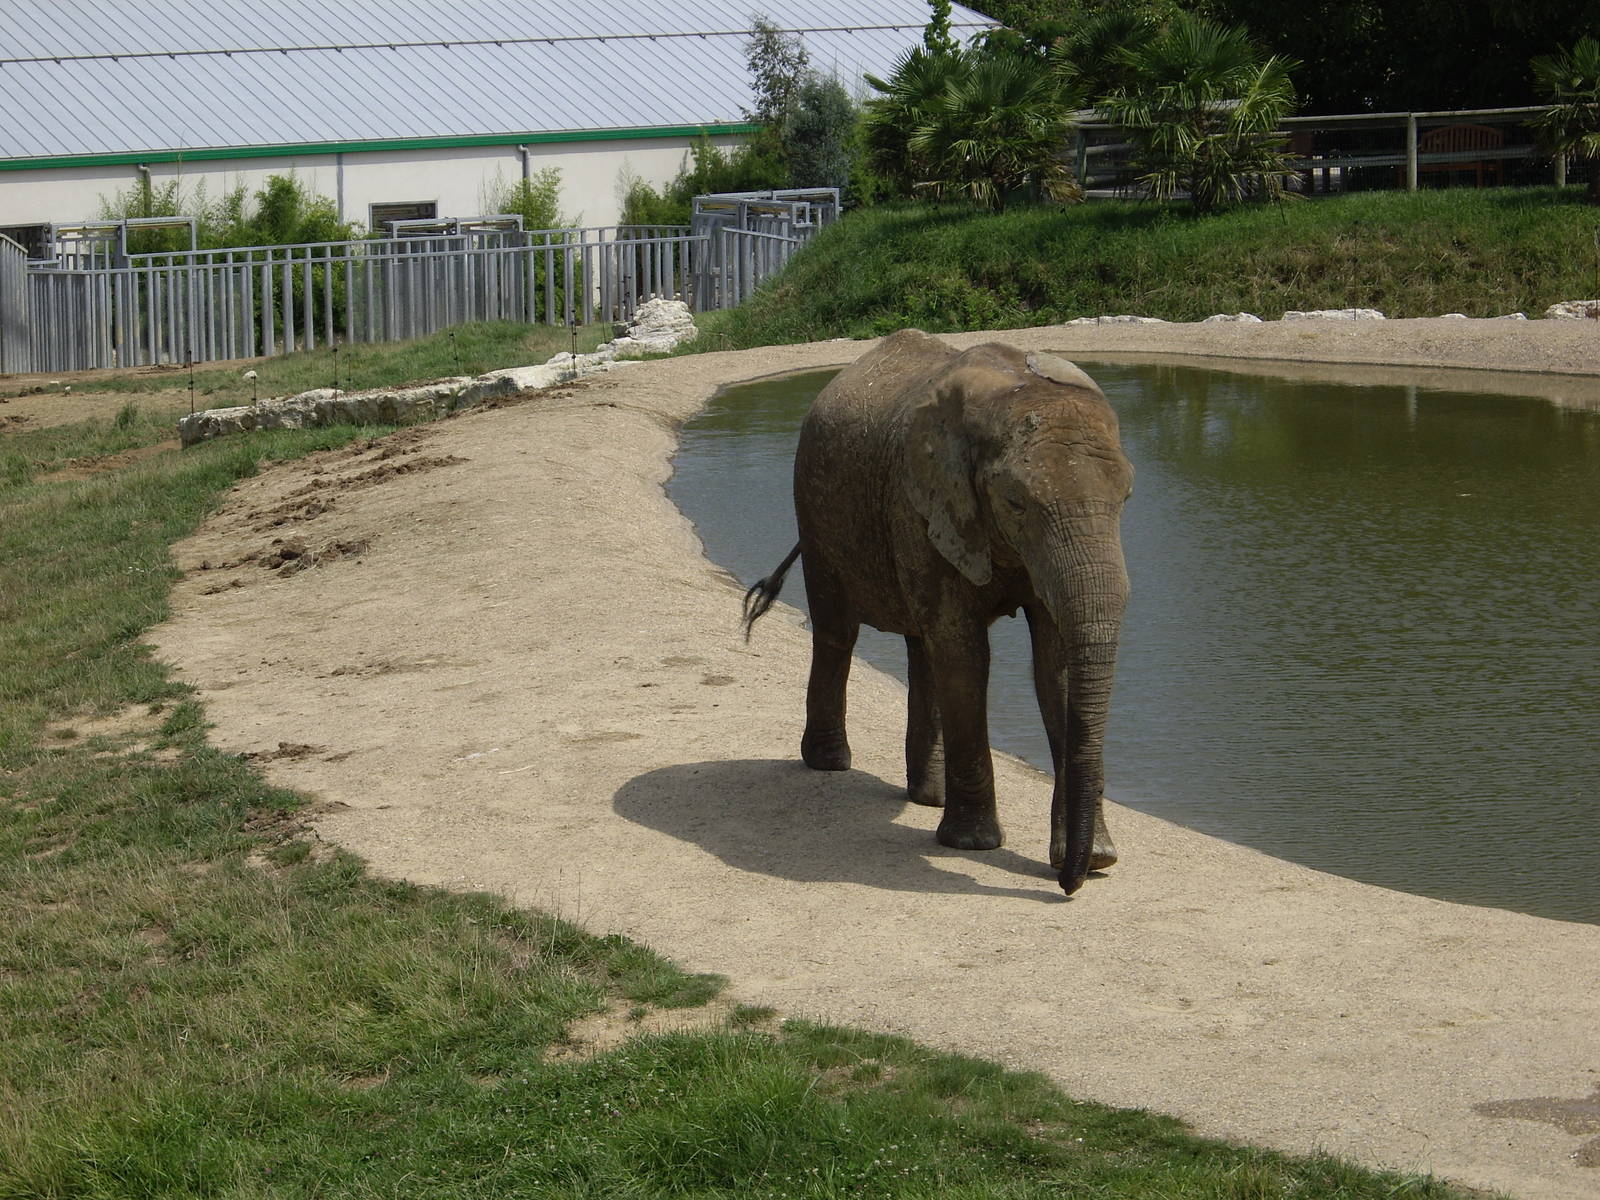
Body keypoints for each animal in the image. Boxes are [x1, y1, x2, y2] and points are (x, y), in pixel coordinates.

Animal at [743, 329, 1133, 895]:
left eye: (1127, 496)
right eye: (1015, 502)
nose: (1066, 885)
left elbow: (1055, 667)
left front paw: (1097, 859)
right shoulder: (922, 502)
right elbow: (966, 655)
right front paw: (972, 845)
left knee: (921, 647)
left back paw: (928, 797)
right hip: (814, 505)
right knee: (839, 633)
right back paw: (830, 764)